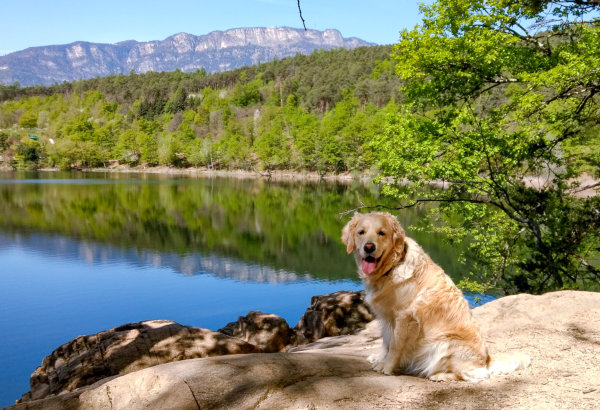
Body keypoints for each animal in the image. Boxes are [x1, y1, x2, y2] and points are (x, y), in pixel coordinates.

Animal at [342, 213, 528, 382]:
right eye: (361, 232)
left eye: (382, 233)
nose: (369, 247)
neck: (392, 268)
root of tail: (487, 361)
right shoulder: (387, 317)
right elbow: (386, 342)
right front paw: (380, 358)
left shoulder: (404, 317)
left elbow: (395, 345)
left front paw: (387, 367)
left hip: (445, 343)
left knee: (473, 375)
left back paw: (440, 376)